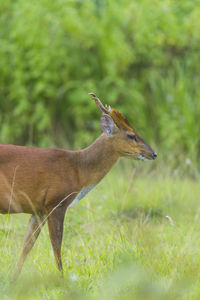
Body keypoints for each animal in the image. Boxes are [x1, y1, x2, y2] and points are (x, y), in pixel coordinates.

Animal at [0, 94, 157, 282]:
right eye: (131, 135)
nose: (153, 154)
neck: (79, 169)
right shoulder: (56, 202)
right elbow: (56, 244)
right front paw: (62, 280)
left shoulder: (38, 209)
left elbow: (27, 245)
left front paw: (13, 280)